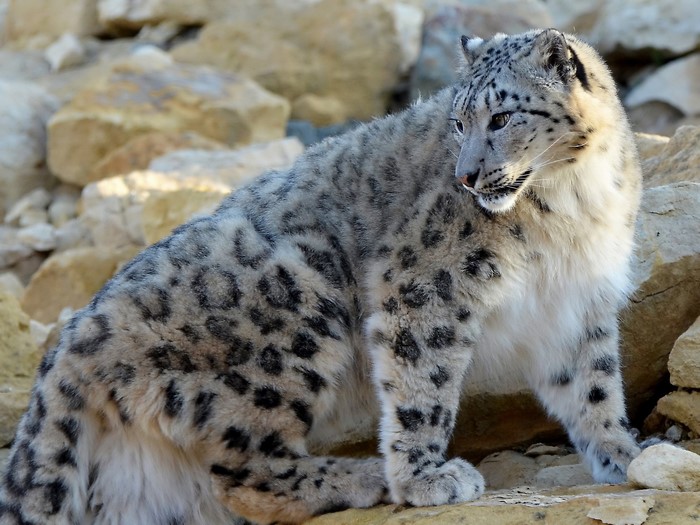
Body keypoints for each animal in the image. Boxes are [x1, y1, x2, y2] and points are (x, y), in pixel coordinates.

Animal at [0, 28, 643, 525]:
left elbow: (593, 386)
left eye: (503, 116)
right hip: (299, 302)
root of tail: (72, 339)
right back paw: (363, 479)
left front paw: (627, 457)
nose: (466, 177)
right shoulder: (425, 290)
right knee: (243, 468)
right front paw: (423, 480)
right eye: (459, 123)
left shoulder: (575, 303)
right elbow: (423, 386)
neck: (573, 204)